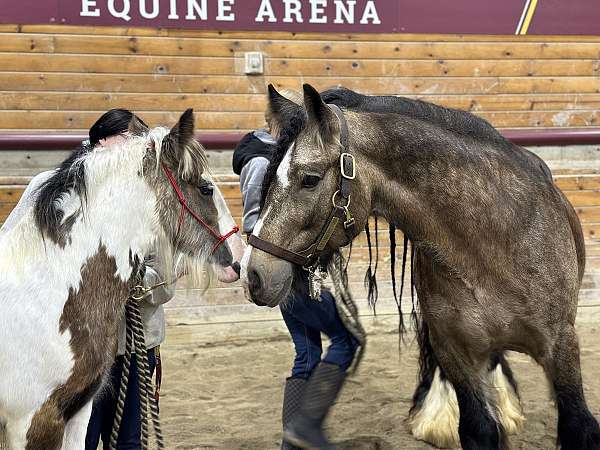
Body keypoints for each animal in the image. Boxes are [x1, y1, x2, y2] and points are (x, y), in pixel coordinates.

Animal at [243, 85, 600, 450]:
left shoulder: (561, 347)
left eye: (310, 179)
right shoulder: (456, 354)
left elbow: (578, 425)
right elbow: (479, 427)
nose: (254, 274)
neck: (495, 244)